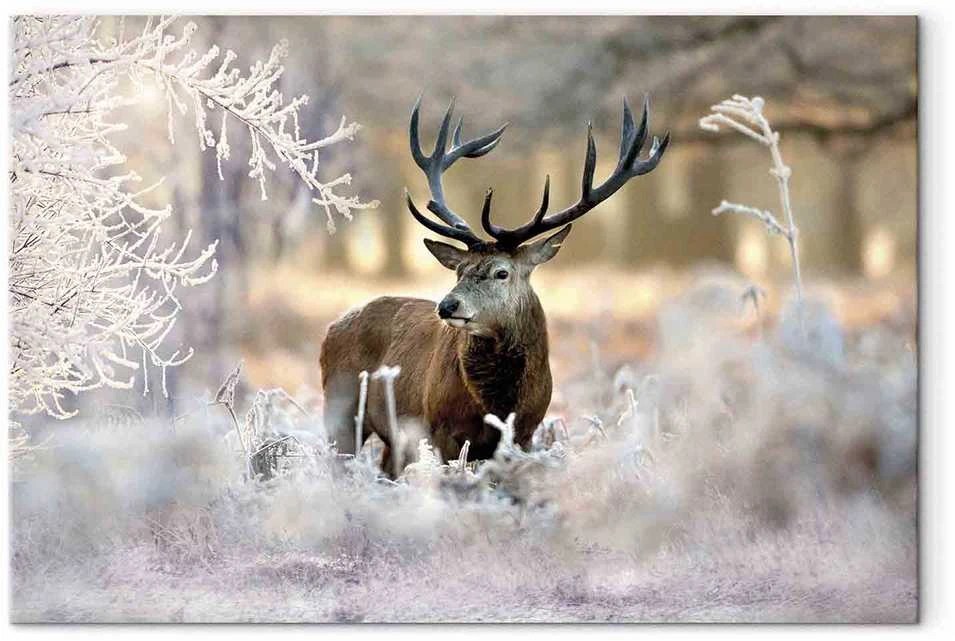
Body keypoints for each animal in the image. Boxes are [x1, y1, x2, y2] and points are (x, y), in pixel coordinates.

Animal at [320, 96, 669, 477]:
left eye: (502, 272)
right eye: (459, 271)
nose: (447, 306)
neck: (498, 404)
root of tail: (332, 327)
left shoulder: (526, 433)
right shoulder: (439, 429)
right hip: (340, 408)